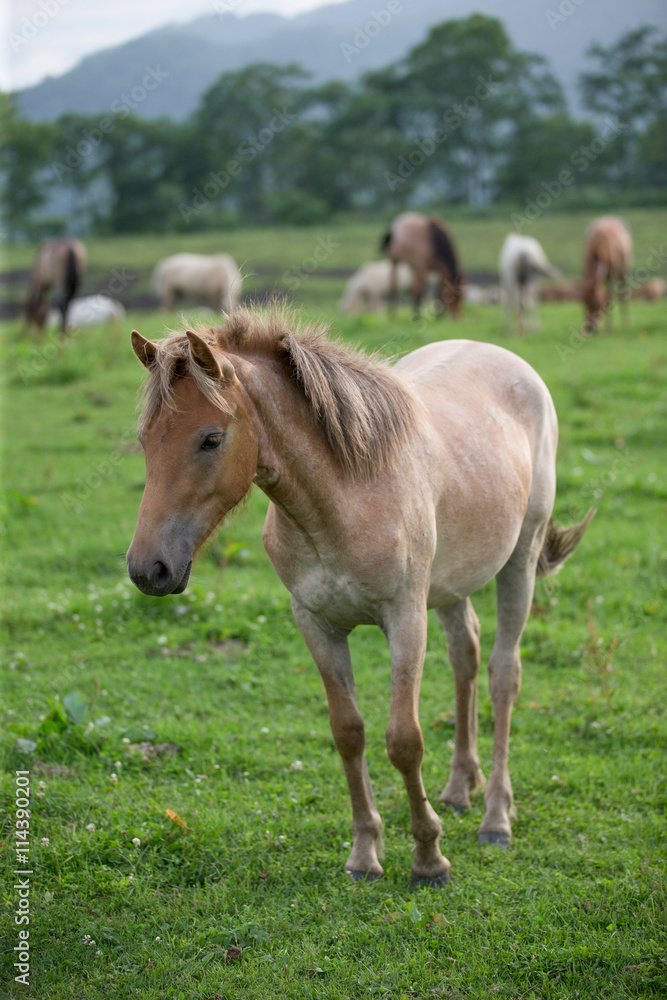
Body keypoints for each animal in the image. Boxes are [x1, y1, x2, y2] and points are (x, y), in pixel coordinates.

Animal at [126, 308, 596, 888]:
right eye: (146, 439)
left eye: (210, 439)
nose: (149, 569)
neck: (343, 499)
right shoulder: (316, 624)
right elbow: (348, 732)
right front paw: (365, 855)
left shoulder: (405, 619)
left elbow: (404, 740)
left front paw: (429, 859)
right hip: (451, 582)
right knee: (465, 655)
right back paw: (459, 788)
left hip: (519, 562)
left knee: (503, 675)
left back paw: (494, 817)